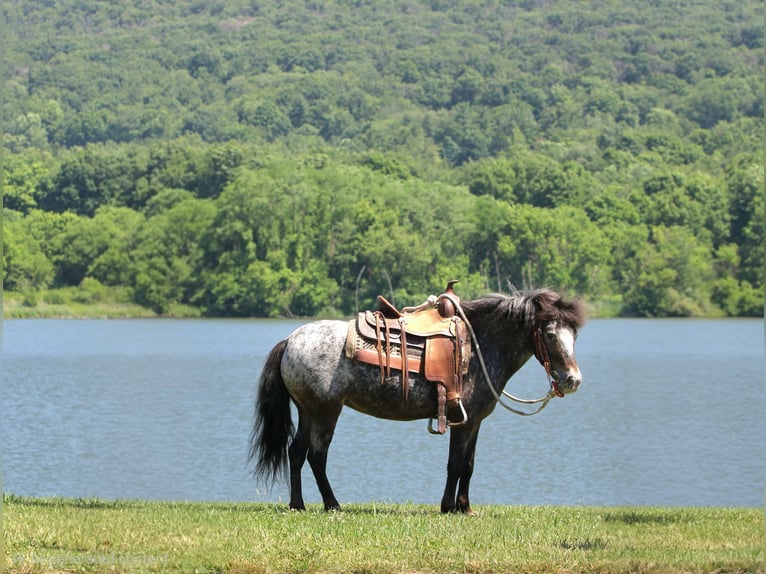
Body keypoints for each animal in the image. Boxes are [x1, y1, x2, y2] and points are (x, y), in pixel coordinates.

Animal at [249, 287, 585, 514]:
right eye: (551, 335)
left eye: (574, 336)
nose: (573, 380)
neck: (480, 346)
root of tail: (290, 341)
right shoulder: (463, 421)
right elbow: (455, 463)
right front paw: (448, 507)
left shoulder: (475, 421)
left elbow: (469, 465)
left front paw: (465, 507)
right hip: (325, 412)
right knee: (316, 456)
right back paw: (333, 505)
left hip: (308, 411)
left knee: (296, 452)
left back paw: (298, 504)